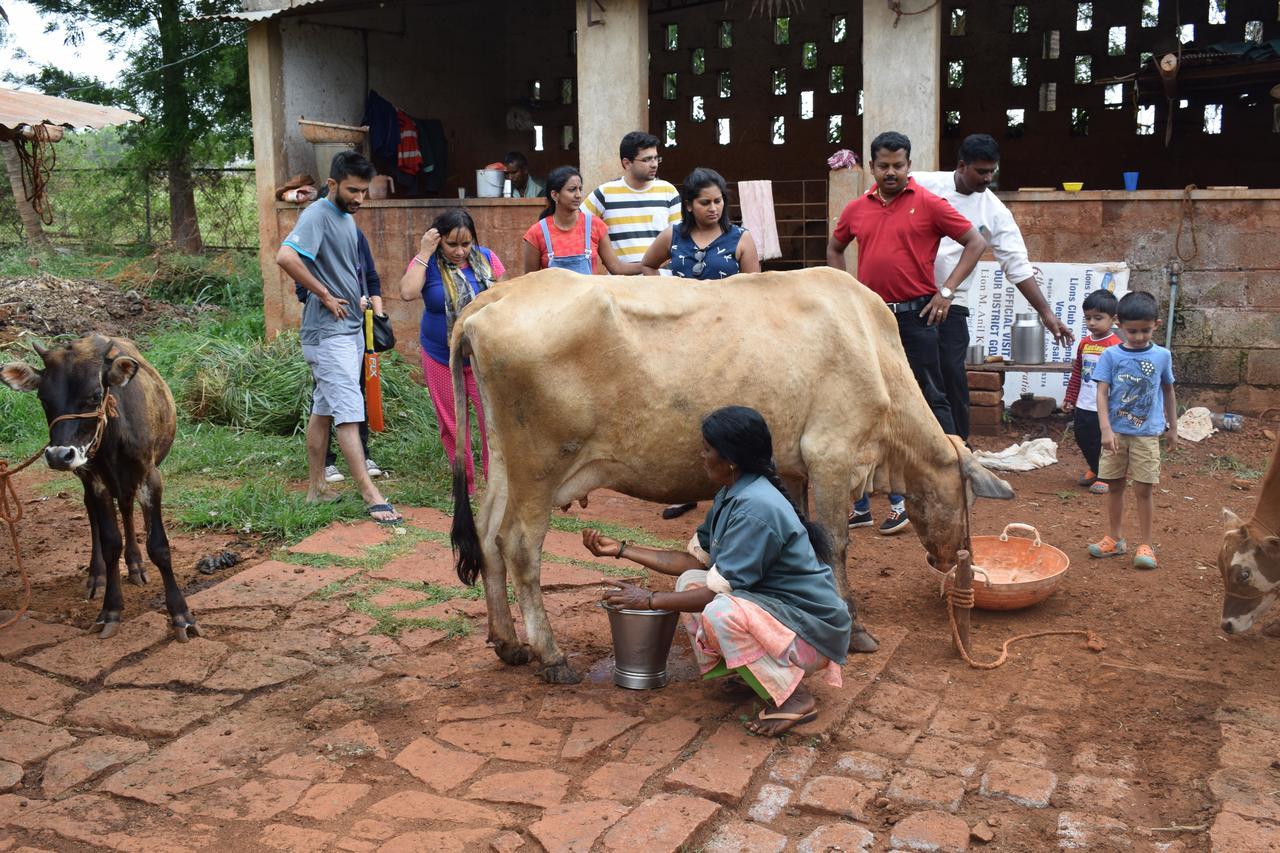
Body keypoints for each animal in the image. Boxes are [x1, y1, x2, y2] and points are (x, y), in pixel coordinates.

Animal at [3, 333, 199, 637]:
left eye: (95, 395)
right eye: (43, 398)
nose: (59, 455)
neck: (113, 440)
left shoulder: (150, 476)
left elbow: (159, 546)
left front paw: (181, 615)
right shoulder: (96, 480)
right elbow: (109, 543)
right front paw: (111, 610)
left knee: (127, 507)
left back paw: (135, 564)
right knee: (93, 512)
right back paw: (97, 576)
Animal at [450, 268, 1008, 681]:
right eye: (968, 500)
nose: (949, 560)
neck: (873, 349)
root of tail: (497, 295)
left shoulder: (797, 470)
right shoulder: (833, 456)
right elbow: (834, 546)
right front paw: (854, 629)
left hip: (504, 463)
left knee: (487, 536)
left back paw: (507, 642)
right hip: (538, 468)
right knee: (519, 545)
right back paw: (551, 656)